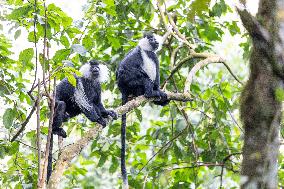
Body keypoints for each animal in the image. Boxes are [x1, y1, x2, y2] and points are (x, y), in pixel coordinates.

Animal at [115, 33, 169, 188]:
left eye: (155, 39)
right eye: (151, 39)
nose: (155, 41)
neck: (147, 51)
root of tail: (124, 90)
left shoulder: (155, 58)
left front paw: (160, 93)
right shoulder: (138, 53)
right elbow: (127, 68)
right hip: (130, 84)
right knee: (138, 77)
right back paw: (150, 92)